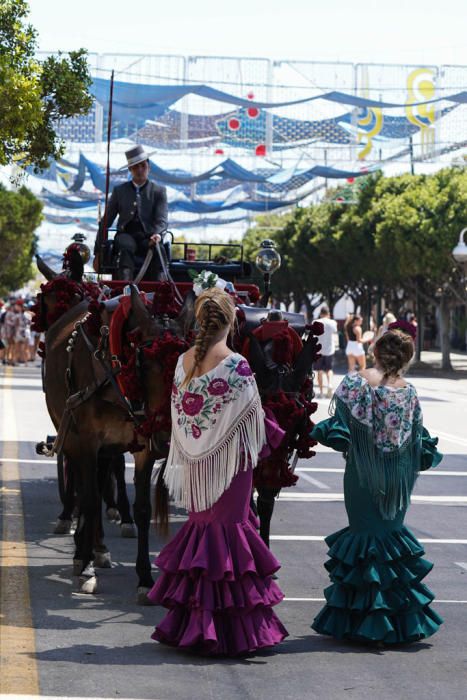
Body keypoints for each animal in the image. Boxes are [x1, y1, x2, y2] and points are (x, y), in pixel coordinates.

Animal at [34, 258, 192, 600]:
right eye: (145, 361)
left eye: (187, 361)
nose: (165, 437)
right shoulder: (85, 441)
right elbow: (90, 500)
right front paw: (85, 568)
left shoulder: (141, 445)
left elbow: (143, 508)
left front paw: (145, 577)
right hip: (70, 434)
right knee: (85, 489)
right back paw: (83, 551)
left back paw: (98, 548)